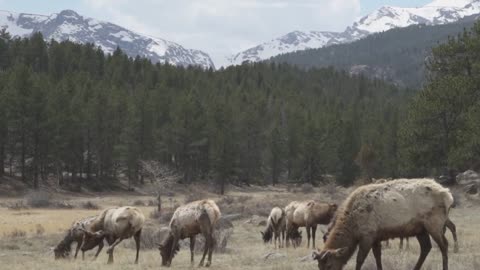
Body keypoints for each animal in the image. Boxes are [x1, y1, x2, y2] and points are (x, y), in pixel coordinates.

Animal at [314, 179, 456, 270]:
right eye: (319, 266)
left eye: (329, 265)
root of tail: (448, 195)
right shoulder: (376, 237)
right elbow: (378, 257)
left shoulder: (367, 235)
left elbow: (360, 259)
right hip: (420, 229)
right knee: (426, 247)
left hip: (434, 224)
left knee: (444, 245)